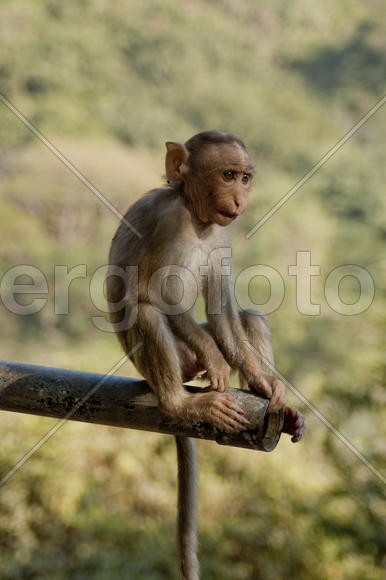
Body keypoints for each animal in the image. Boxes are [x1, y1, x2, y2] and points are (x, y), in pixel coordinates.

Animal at [105, 133, 304, 580]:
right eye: (227, 174)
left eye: (244, 177)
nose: (240, 197)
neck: (196, 218)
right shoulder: (168, 224)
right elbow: (156, 295)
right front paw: (216, 363)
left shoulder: (220, 238)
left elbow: (222, 311)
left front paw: (264, 385)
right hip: (170, 360)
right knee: (147, 312)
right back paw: (180, 402)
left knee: (247, 318)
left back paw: (274, 403)